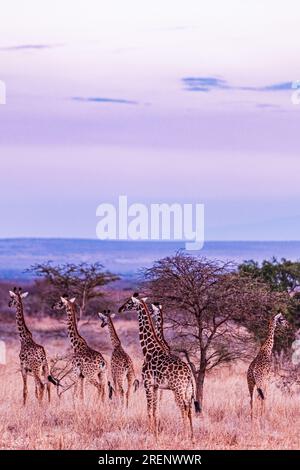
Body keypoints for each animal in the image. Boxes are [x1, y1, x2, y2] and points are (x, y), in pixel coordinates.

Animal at [118, 292, 200, 442]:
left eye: (129, 302)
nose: (120, 309)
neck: (149, 350)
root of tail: (188, 375)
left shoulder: (147, 383)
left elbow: (149, 409)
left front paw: (150, 434)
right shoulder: (156, 386)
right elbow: (155, 410)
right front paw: (156, 433)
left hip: (177, 390)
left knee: (183, 408)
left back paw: (184, 436)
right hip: (187, 390)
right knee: (189, 409)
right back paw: (192, 437)